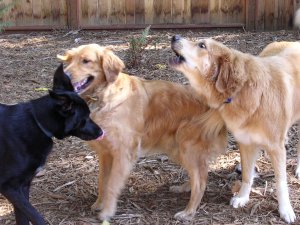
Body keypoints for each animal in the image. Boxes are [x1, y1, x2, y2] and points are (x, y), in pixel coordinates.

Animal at [0, 64, 103, 224]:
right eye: (84, 118)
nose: (101, 132)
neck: (38, 123)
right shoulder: (9, 186)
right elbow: (36, 216)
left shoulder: (23, 185)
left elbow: (23, 217)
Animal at [57, 44, 227, 221]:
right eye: (69, 60)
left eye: (86, 61)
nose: (63, 76)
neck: (105, 95)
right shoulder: (105, 153)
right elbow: (102, 181)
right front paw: (99, 204)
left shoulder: (123, 154)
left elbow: (112, 185)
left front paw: (107, 212)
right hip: (178, 150)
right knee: (201, 174)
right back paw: (184, 188)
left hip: (187, 148)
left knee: (200, 182)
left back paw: (188, 212)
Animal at [169, 36, 300, 222]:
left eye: (202, 45)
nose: (175, 37)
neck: (242, 90)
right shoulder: (245, 142)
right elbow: (246, 175)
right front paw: (243, 197)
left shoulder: (275, 147)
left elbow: (281, 183)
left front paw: (285, 210)